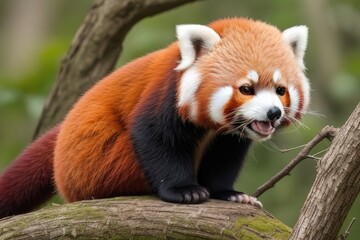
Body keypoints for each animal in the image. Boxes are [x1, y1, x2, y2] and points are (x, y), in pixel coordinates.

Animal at [0, 17, 310, 218]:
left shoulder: (228, 138)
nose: (273, 112)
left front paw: (226, 192)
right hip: (95, 160)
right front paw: (184, 190)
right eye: (247, 88)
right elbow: (155, 138)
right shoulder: (165, 94)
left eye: (280, 90)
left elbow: (225, 157)